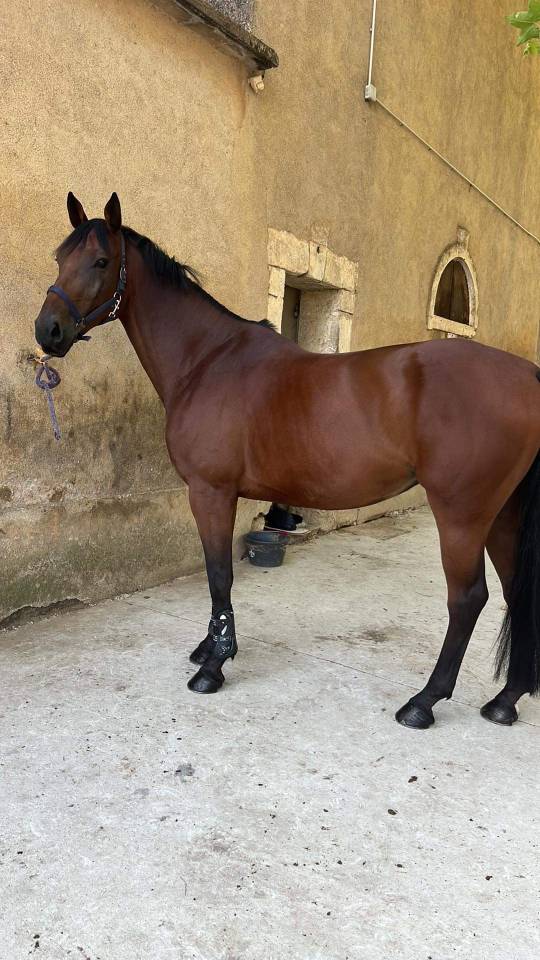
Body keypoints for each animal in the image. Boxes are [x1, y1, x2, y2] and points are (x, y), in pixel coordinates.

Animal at [34, 192, 540, 729]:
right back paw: (506, 700)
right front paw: (207, 649)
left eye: (101, 261)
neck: (207, 360)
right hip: (502, 515)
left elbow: (219, 575)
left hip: (462, 515)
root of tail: (527, 375)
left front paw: (213, 666)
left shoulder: (211, 492)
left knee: (468, 599)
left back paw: (423, 702)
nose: (48, 331)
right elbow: (215, 576)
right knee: (516, 592)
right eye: (59, 257)